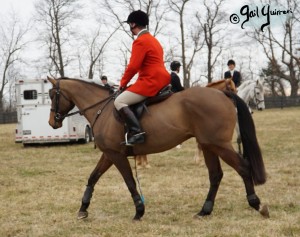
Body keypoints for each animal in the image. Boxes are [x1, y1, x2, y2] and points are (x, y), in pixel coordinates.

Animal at [47, 77, 270, 220]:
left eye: (51, 95)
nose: (52, 122)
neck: (103, 109)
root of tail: (221, 94)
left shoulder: (116, 155)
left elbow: (129, 182)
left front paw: (139, 211)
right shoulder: (109, 154)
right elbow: (93, 177)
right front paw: (83, 209)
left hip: (219, 145)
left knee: (243, 167)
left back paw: (257, 204)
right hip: (209, 145)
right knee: (215, 175)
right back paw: (204, 211)